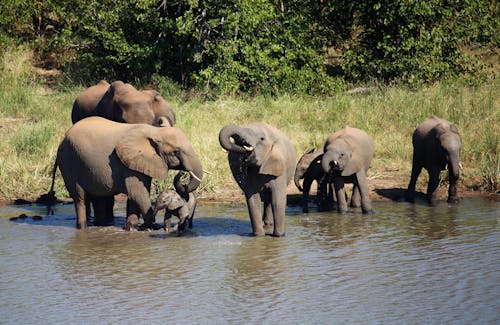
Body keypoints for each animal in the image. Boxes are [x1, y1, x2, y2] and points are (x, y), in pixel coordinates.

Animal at [55, 116, 203, 228]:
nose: (183, 174)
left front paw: (132, 228)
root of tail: (63, 137)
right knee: (79, 197)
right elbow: (138, 194)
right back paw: (83, 227)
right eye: (175, 152)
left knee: (99, 198)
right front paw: (151, 227)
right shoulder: (129, 163)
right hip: (69, 162)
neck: (155, 131)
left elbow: (134, 196)